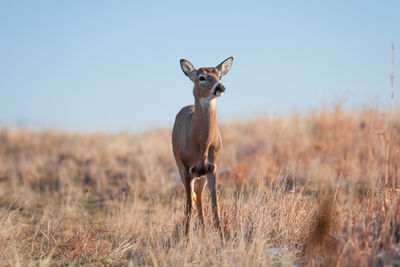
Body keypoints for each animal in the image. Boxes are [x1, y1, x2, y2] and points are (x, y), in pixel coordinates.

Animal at [170, 56, 233, 243]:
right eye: (202, 77)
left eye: (220, 75)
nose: (220, 87)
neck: (202, 145)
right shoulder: (187, 169)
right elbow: (189, 204)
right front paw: (187, 240)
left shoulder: (213, 168)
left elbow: (215, 205)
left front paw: (223, 240)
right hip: (180, 168)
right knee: (192, 198)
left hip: (202, 175)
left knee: (199, 198)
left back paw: (204, 233)